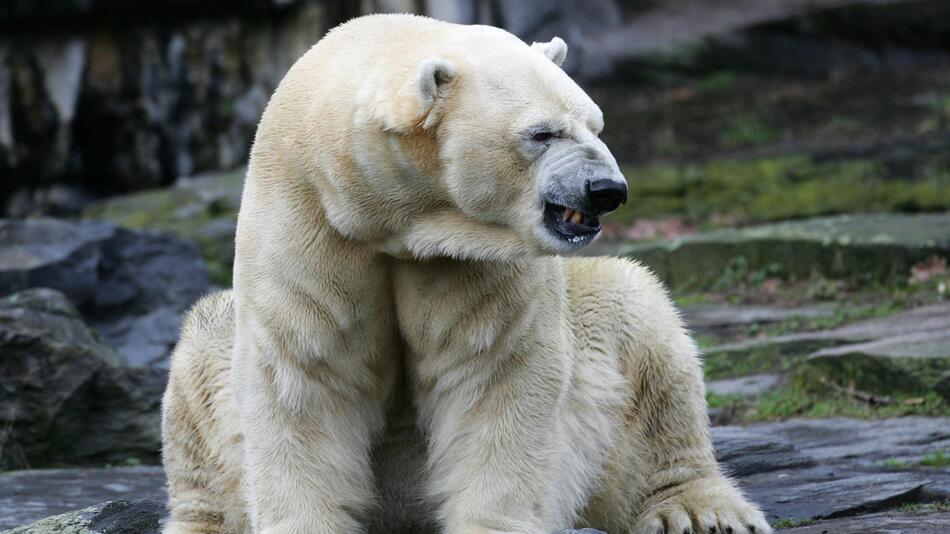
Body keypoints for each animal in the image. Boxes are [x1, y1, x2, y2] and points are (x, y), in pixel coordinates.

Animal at [162, 13, 772, 534]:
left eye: (595, 124)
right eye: (542, 133)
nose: (607, 189)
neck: (394, 216)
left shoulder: (471, 258)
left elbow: (494, 371)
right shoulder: (312, 218)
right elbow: (304, 371)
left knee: (640, 322)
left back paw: (698, 510)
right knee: (202, 354)